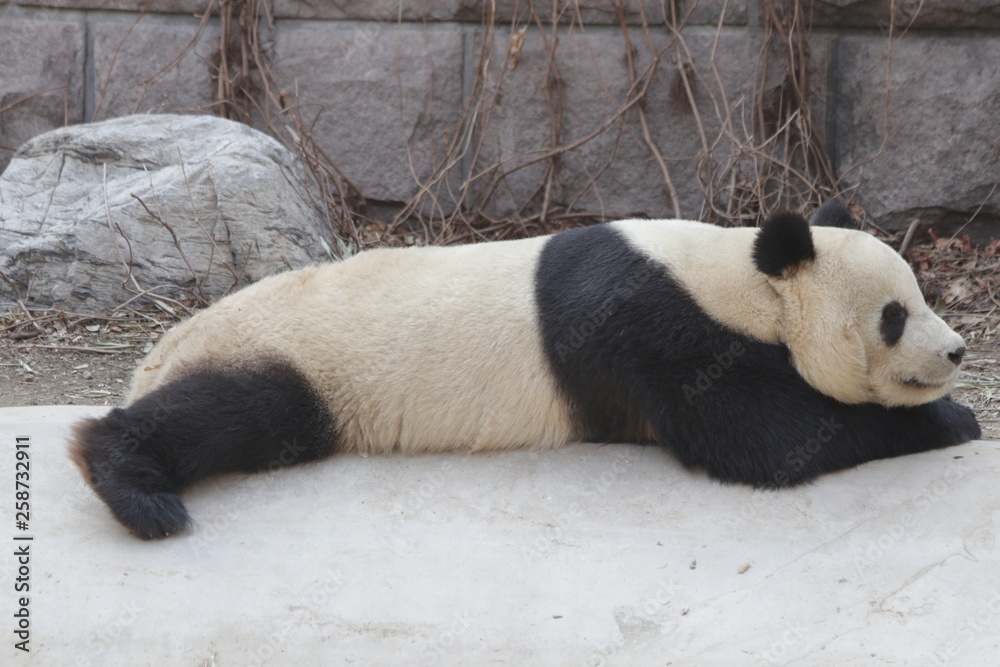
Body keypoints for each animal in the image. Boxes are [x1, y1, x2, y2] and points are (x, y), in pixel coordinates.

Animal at [70, 202, 981, 539]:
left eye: (922, 294)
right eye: (894, 316)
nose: (957, 352)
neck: (740, 279)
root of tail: (155, 351)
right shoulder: (657, 330)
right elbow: (764, 439)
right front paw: (949, 419)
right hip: (298, 361)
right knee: (231, 413)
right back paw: (137, 488)